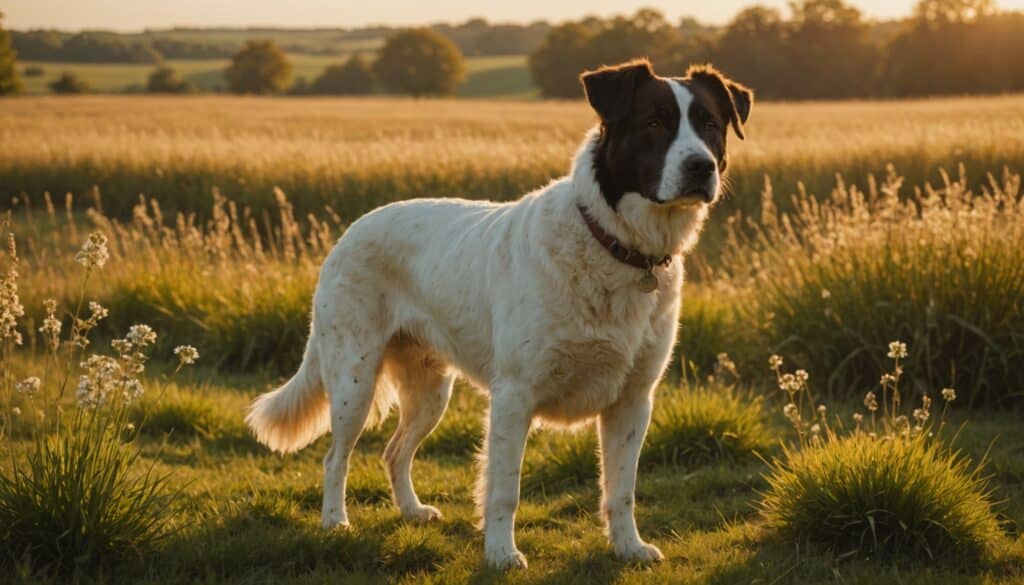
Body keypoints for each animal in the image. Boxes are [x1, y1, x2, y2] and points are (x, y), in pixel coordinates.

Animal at [243, 59, 749, 573]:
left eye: (710, 124)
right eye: (654, 124)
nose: (701, 166)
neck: (616, 245)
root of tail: (349, 232)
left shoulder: (633, 399)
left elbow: (621, 489)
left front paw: (628, 548)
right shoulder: (514, 396)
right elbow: (505, 488)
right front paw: (501, 553)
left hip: (430, 390)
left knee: (394, 451)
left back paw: (411, 511)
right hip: (354, 381)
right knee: (336, 457)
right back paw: (335, 522)